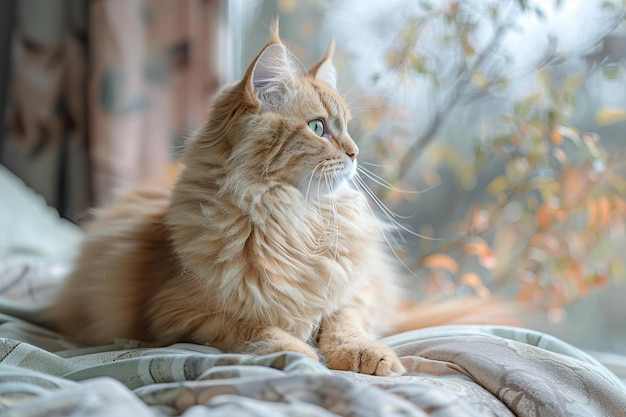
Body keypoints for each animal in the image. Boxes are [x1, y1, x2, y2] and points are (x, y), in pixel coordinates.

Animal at [47, 21, 512, 376]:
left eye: (347, 128)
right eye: (319, 128)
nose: (355, 152)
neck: (290, 220)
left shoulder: (352, 290)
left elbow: (345, 324)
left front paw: (365, 354)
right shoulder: (175, 314)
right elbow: (257, 330)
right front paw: (300, 354)